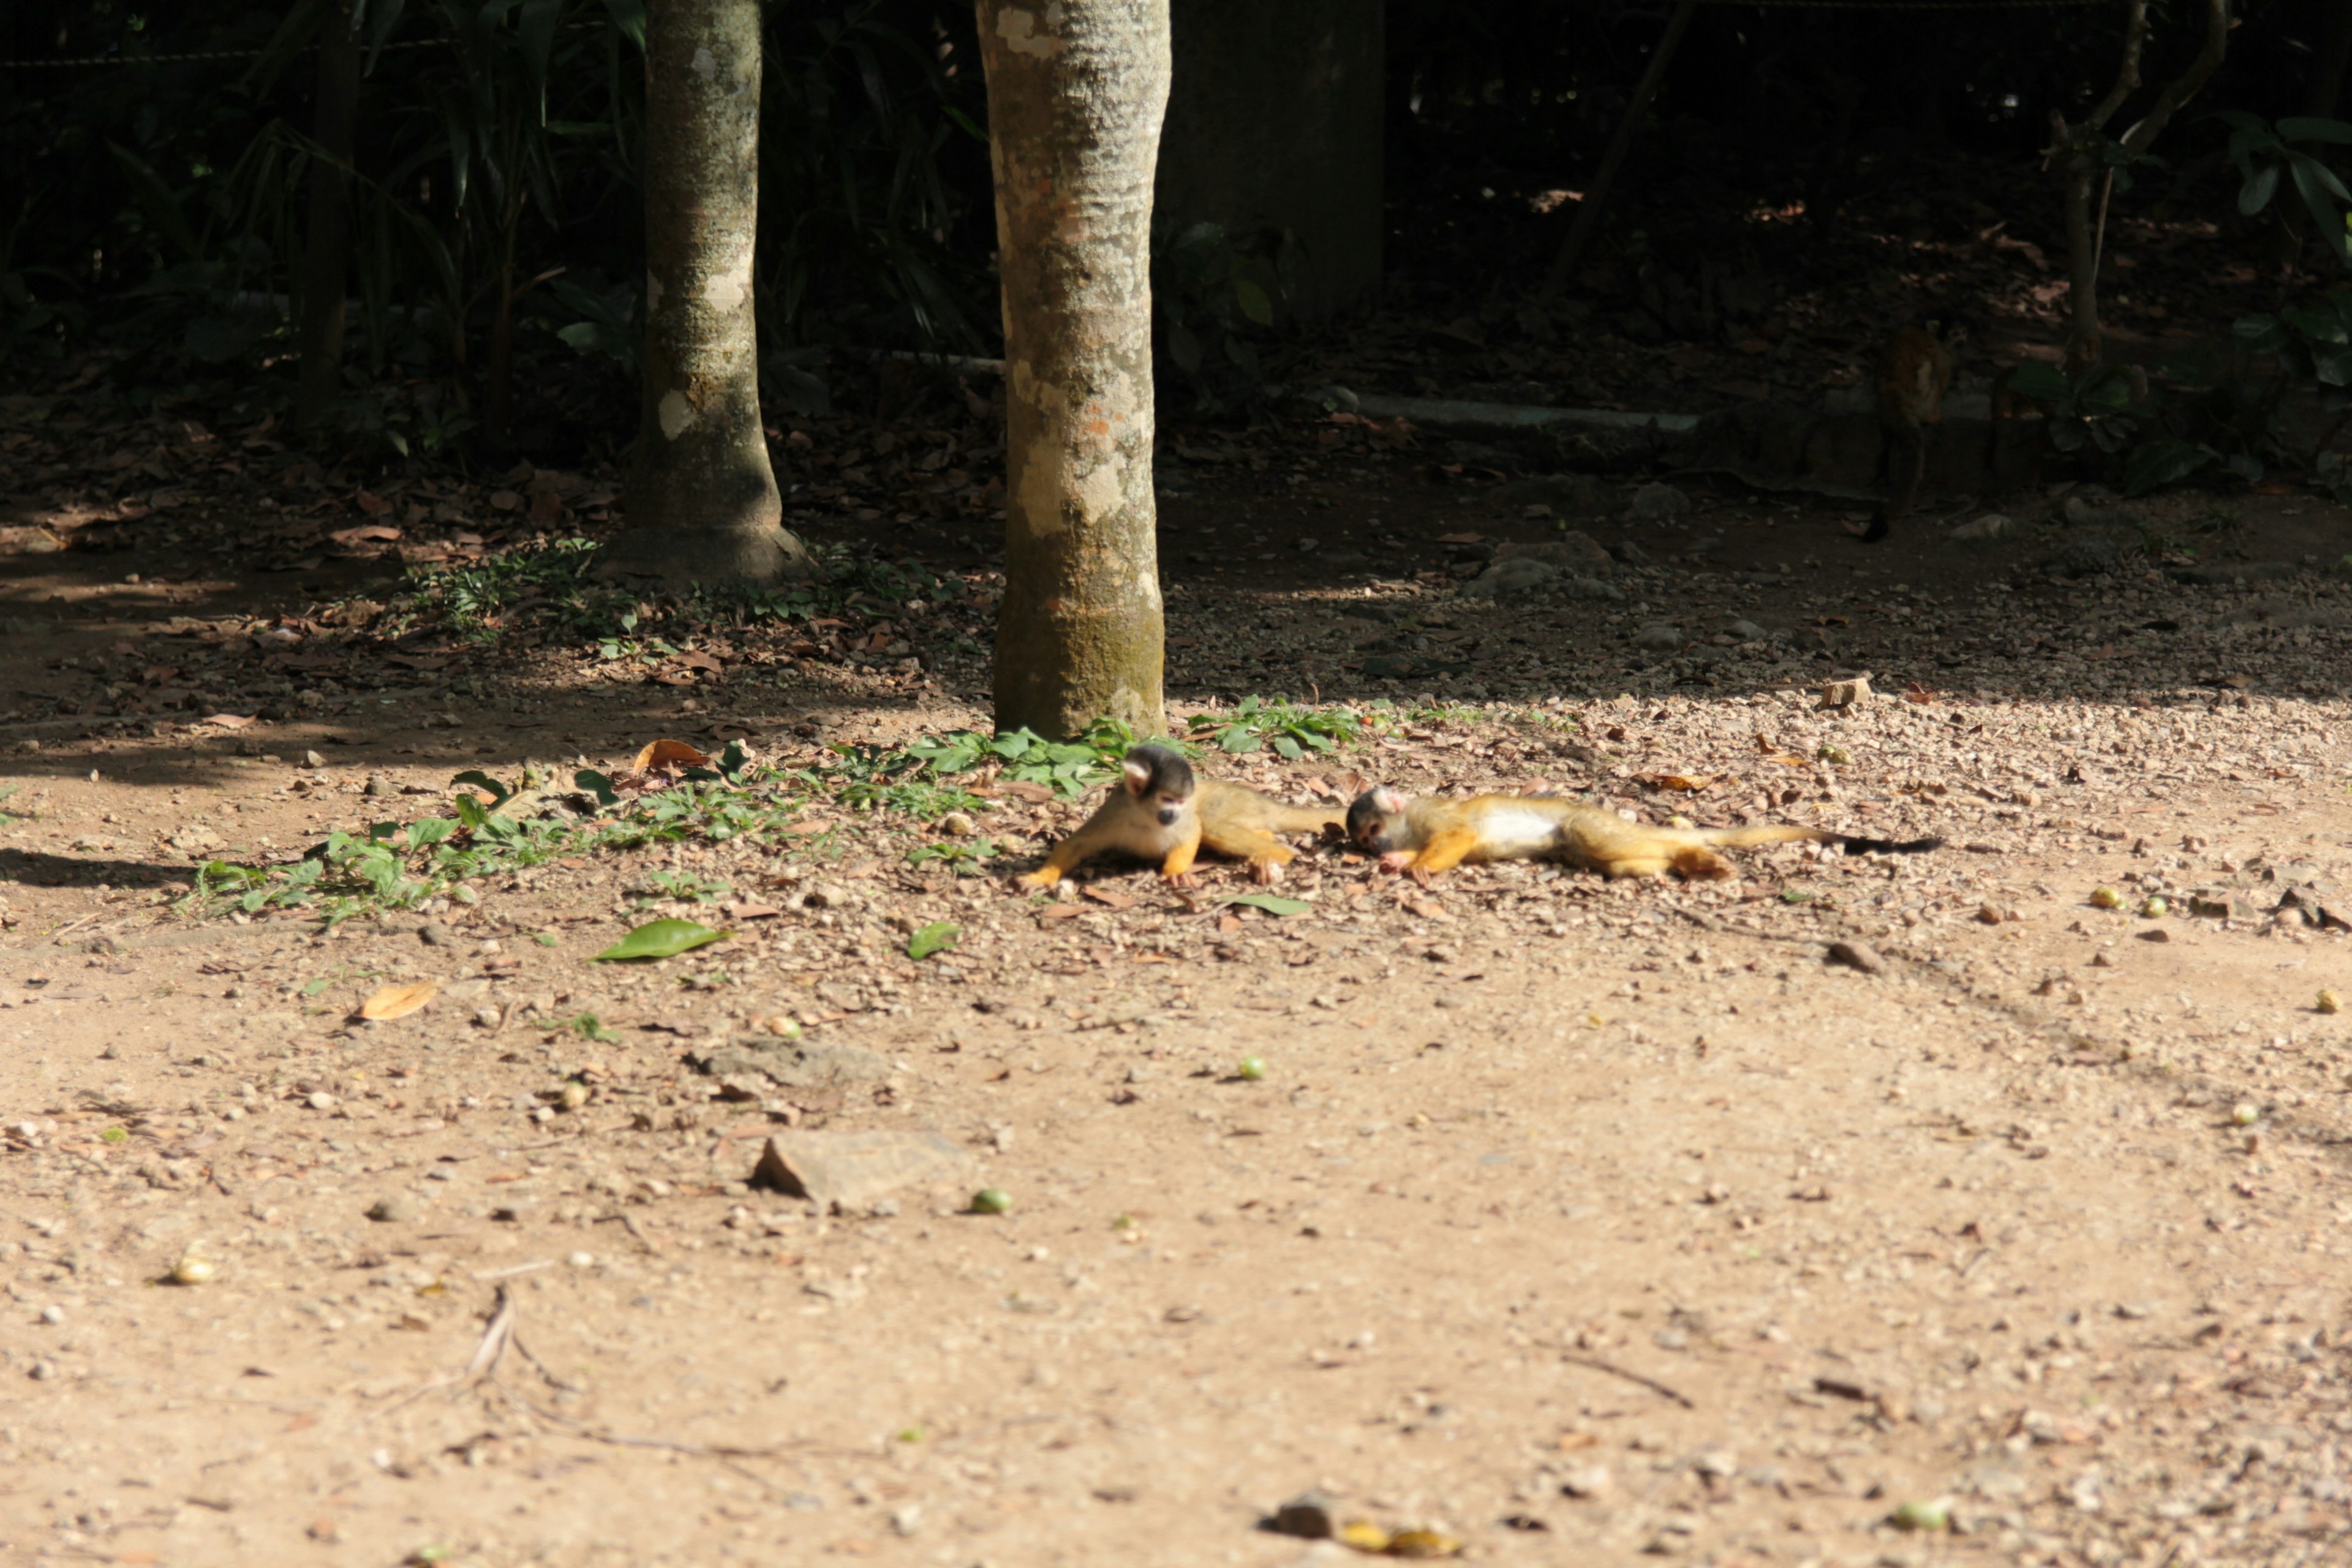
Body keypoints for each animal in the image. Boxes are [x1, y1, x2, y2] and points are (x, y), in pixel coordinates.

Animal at [1011, 747, 1345, 888]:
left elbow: (1191, 832)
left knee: (1212, 824)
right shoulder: (1116, 810)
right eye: (1167, 800)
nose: (1173, 814)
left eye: (1182, 802)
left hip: (1234, 801)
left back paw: (1276, 855)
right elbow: (1076, 844)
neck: (1146, 816)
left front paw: (1175, 872)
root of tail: (1260, 797)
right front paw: (1041, 877)